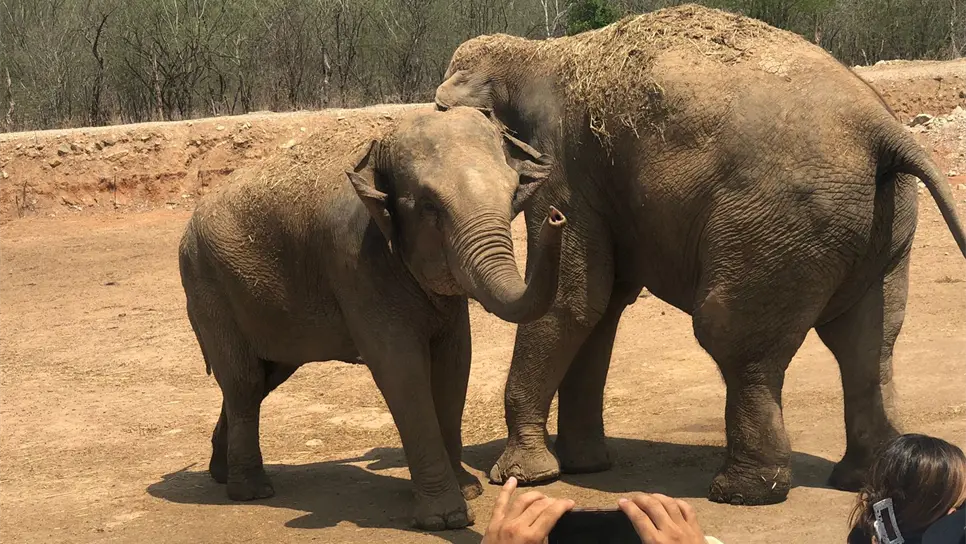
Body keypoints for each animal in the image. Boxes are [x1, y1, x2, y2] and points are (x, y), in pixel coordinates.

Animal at [177, 105, 567, 530]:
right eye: (429, 207)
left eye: (512, 194)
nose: (556, 217)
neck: (377, 148)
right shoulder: (356, 263)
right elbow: (401, 369)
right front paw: (445, 518)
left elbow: (454, 362)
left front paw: (468, 491)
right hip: (207, 287)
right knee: (245, 382)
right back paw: (251, 491)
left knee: (262, 377)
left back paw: (221, 473)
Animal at [434, 4, 966, 505]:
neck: (532, 54)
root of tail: (882, 129)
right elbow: (600, 307)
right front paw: (584, 466)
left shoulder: (563, 167)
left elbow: (571, 303)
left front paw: (524, 475)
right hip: (884, 224)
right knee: (868, 341)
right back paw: (859, 478)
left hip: (775, 222)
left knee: (732, 334)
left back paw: (741, 493)